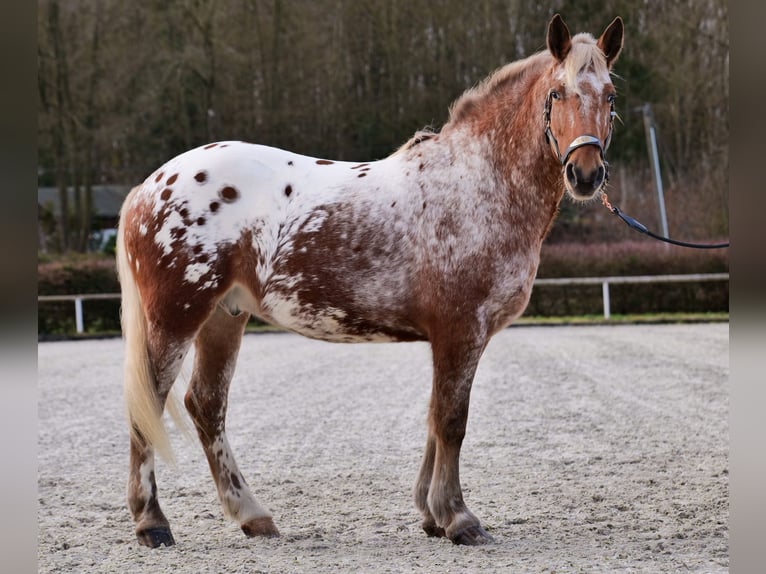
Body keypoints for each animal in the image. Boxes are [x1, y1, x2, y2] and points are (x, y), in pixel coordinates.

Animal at [118, 13, 624, 548]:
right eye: (557, 93)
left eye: (610, 96)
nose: (586, 174)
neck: (476, 183)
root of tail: (150, 186)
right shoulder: (461, 331)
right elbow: (452, 421)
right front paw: (459, 518)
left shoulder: (449, 337)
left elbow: (434, 417)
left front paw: (431, 514)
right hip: (176, 317)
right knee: (149, 403)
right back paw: (152, 522)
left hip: (223, 318)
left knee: (206, 406)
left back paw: (252, 516)